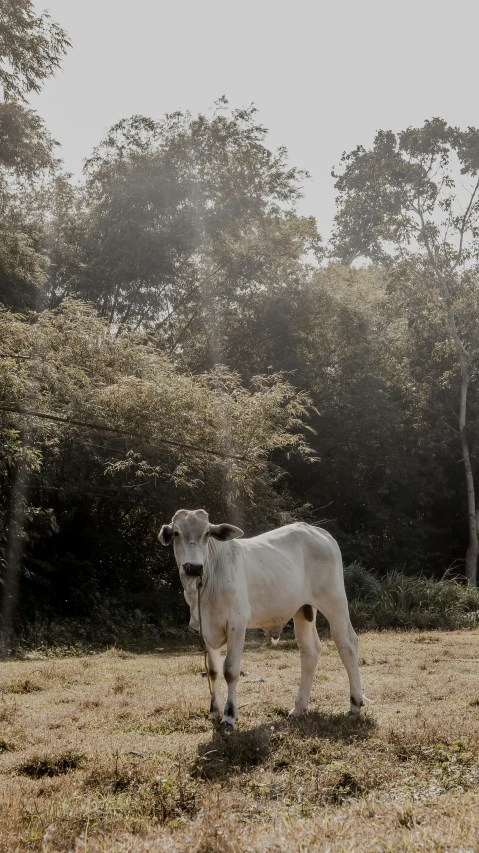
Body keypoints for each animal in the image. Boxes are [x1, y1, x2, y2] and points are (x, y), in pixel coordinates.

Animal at [159, 510, 366, 728]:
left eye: (207, 533)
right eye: (176, 533)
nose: (193, 567)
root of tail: (319, 531)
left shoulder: (237, 625)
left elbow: (230, 670)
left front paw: (229, 715)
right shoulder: (205, 629)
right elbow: (213, 670)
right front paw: (214, 711)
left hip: (335, 601)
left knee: (347, 644)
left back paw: (355, 703)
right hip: (303, 609)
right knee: (310, 651)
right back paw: (299, 707)